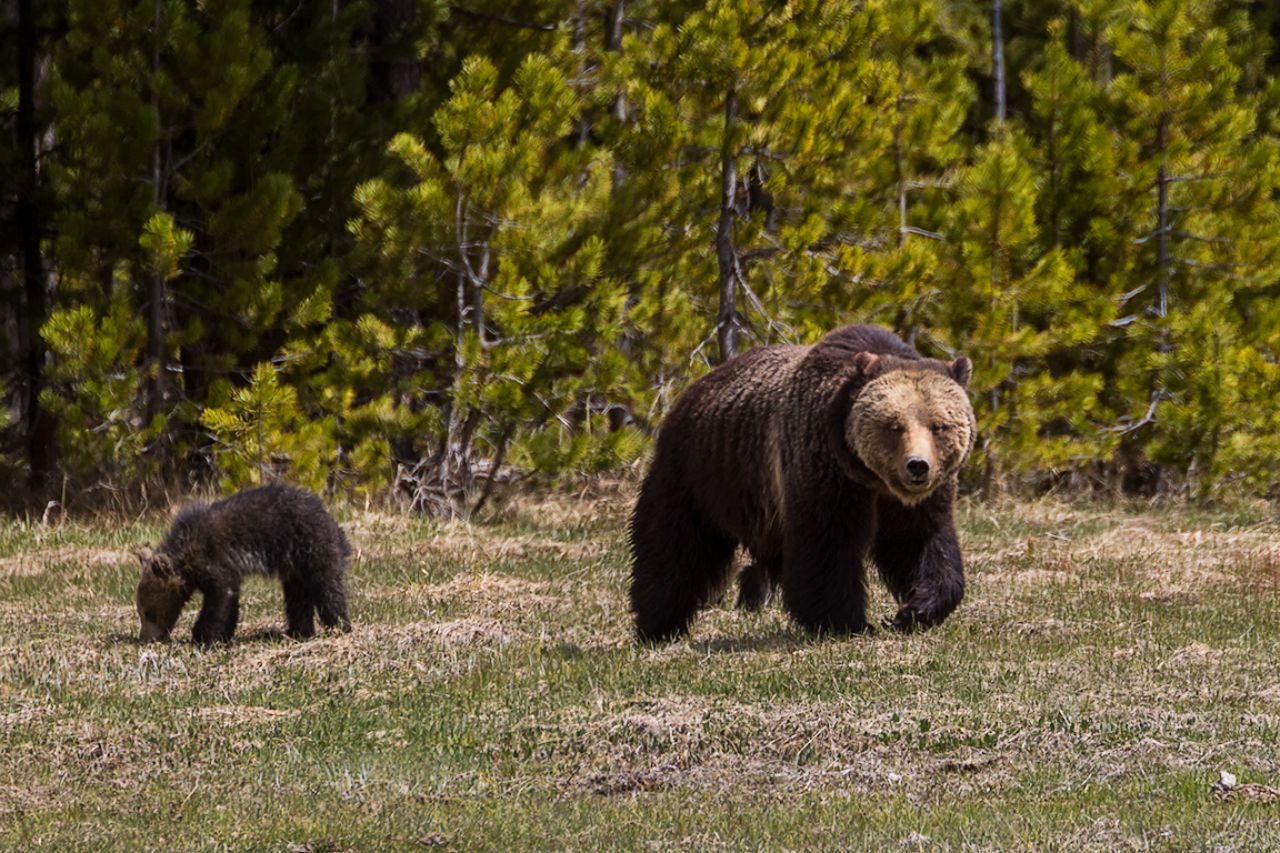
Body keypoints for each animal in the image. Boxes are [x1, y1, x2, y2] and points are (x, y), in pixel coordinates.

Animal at [135, 483, 353, 644]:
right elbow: (229, 599)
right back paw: (297, 631)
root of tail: (333, 522)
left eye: (150, 613)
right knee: (297, 597)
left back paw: (339, 627)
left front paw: (204, 636)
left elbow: (221, 597)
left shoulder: (214, 559)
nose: (146, 638)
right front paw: (221, 635)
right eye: (142, 612)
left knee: (328, 588)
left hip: (312, 546)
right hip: (294, 567)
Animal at [629, 324, 975, 641]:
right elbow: (826, 543)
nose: (917, 466)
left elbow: (920, 543)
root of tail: (691, 391)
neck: (872, 478)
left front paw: (915, 610)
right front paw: (847, 621)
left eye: (939, 425)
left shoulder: (912, 502)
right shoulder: (822, 467)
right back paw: (658, 625)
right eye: (894, 425)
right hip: (700, 475)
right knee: (674, 546)